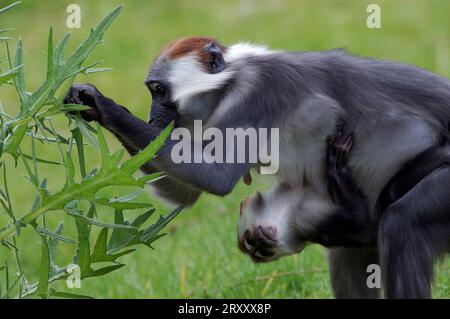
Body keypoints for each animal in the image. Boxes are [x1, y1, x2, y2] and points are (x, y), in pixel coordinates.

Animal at [65, 37, 450, 300]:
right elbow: (186, 193)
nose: (151, 117)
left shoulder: (257, 94)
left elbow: (214, 177)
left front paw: (103, 104)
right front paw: (89, 105)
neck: (232, 80)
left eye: (159, 91)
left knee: (402, 223)